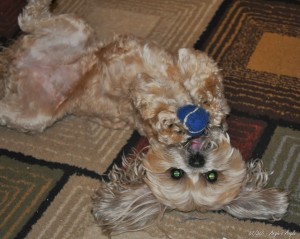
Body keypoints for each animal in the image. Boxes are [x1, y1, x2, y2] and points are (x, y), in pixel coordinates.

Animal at [0, 0, 288, 236]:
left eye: (211, 176)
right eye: (177, 174)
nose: (196, 159)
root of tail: (14, 63)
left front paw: (172, 114)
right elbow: (202, 85)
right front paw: (188, 103)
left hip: (33, 115)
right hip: (77, 33)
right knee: (30, 19)